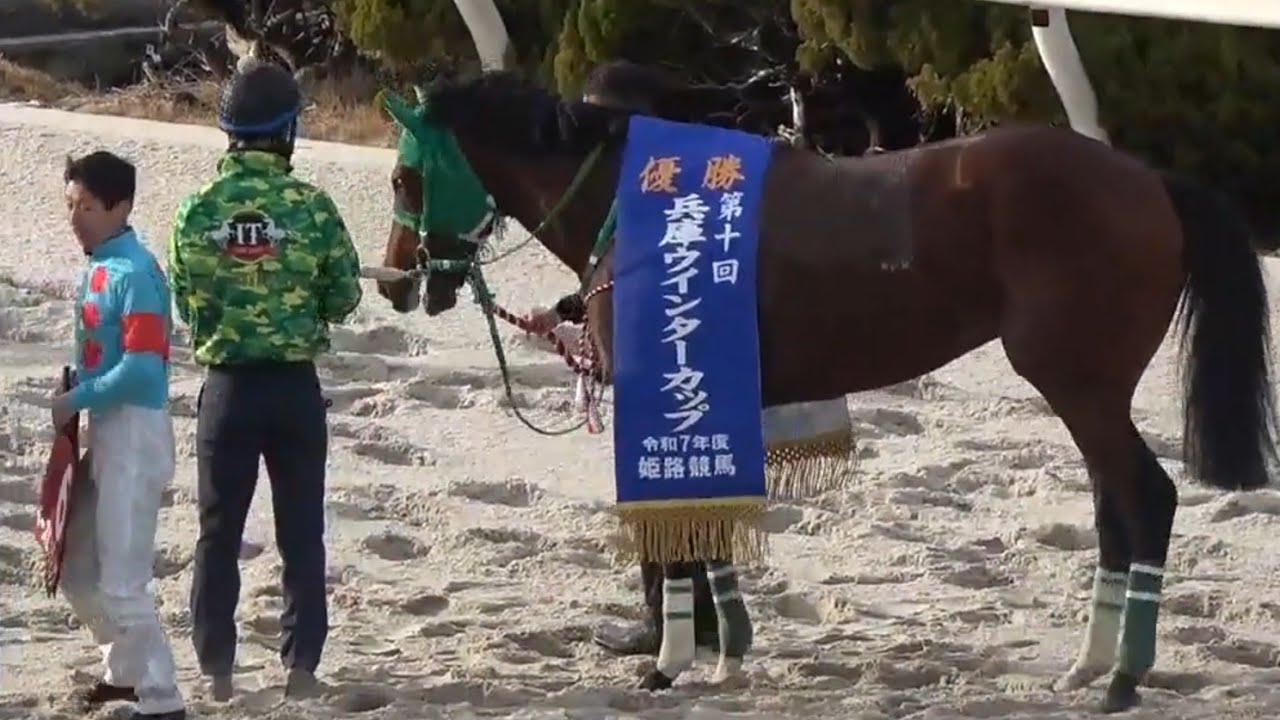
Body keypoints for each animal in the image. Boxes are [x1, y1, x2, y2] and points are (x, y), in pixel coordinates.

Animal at [372, 70, 1278, 713]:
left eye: (404, 180)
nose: (395, 283)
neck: (649, 214)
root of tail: (1148, 181)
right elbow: (708, 524)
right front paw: (723, 652)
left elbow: (678, 532)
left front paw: (671, 662)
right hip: (1090, 394)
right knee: (1113, 507)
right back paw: (1088, 667)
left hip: (1077, 385)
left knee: (1146, 497)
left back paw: (1124, 678)